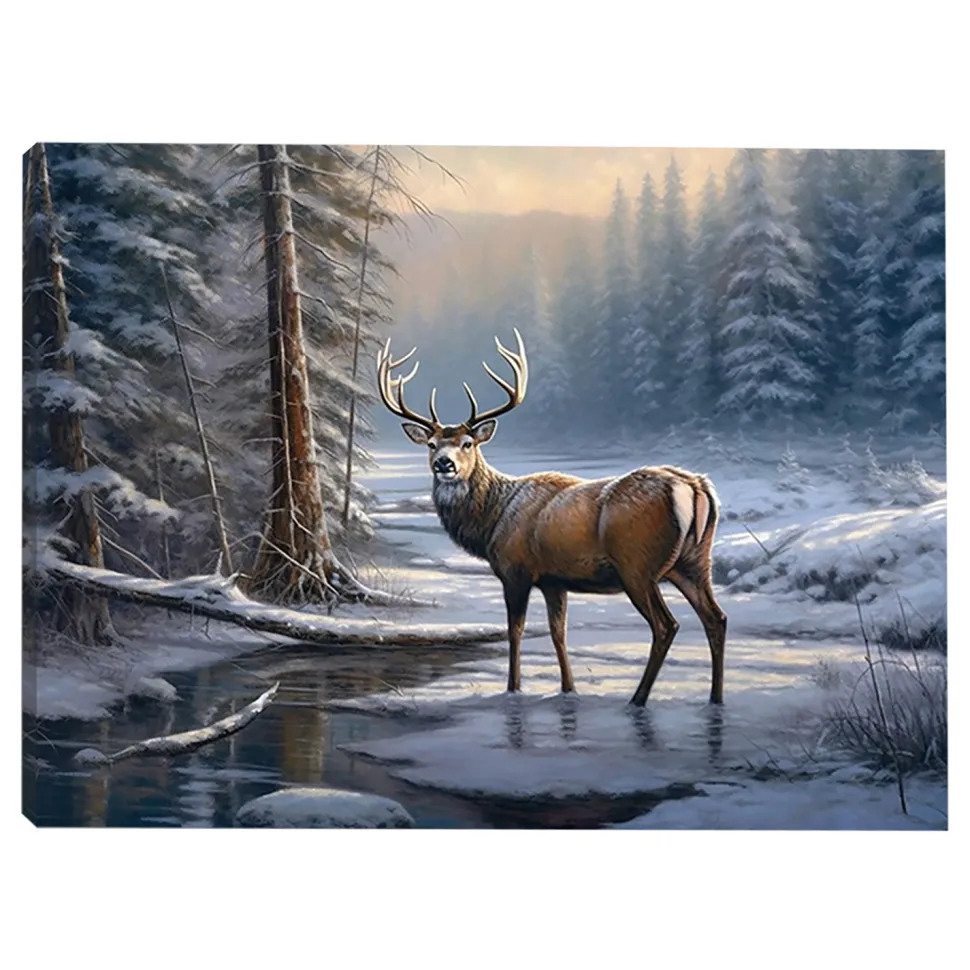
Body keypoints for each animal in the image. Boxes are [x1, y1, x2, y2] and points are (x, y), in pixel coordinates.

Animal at [376, 329, 727, 708]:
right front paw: (568, 688)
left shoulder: (515, 570)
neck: (493, 520)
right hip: (694, 563)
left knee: (666, 626)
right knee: (716, 618)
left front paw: (513, 688)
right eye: (430, 444)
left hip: (638, 565)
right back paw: (715, 698)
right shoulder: (553, 580)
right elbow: (558, 632)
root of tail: (693, 487)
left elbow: (515, 631)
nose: (445, 463)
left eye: (468, 443)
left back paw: (638, 698)